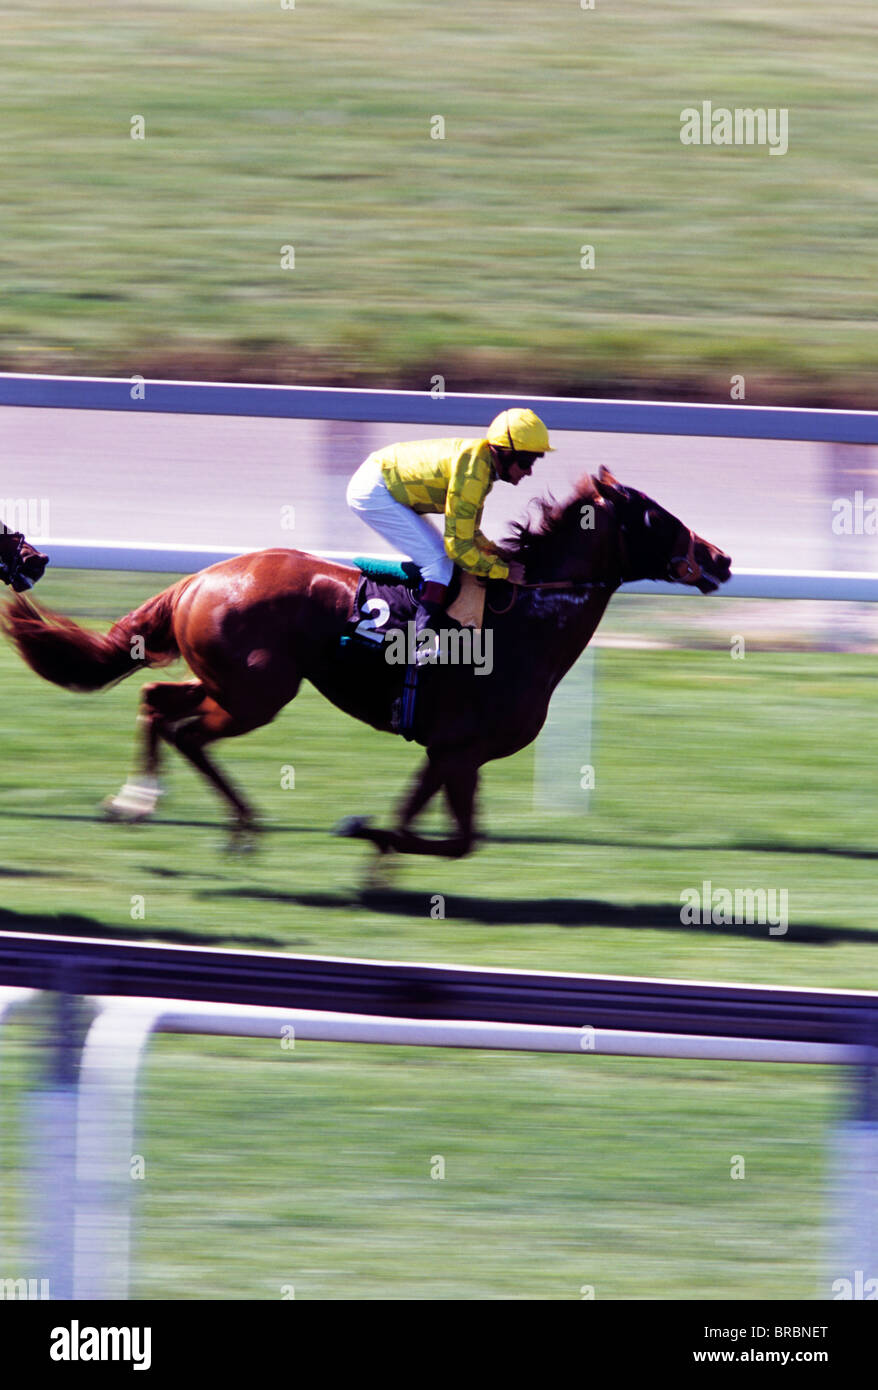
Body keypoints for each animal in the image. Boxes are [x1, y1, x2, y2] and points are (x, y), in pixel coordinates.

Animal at [0, 467, 727, 856]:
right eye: (657, 517)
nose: (720, 557)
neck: (524, 617)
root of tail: (199, 579)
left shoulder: (447, 752)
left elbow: (439, 828)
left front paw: (377, 849)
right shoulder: (460, 749)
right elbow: (450, 836)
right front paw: (363, 830)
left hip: (228, 683)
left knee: (156, 703)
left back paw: (136, 802)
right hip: (258, 694)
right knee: (188, 732)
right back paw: (234, 823)